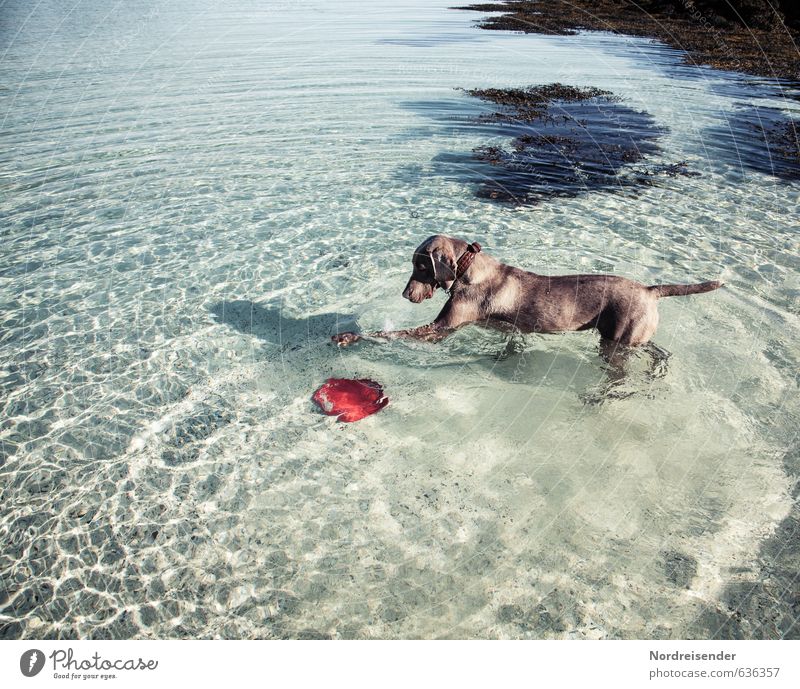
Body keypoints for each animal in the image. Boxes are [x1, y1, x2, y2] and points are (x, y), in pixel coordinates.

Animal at [332, 235, 724, 350]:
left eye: (420, 266)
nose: (404, 295)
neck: (469, 270)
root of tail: (649, 289)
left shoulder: (439, 331)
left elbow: (389, 333)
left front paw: (348, 336)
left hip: (619, 338)